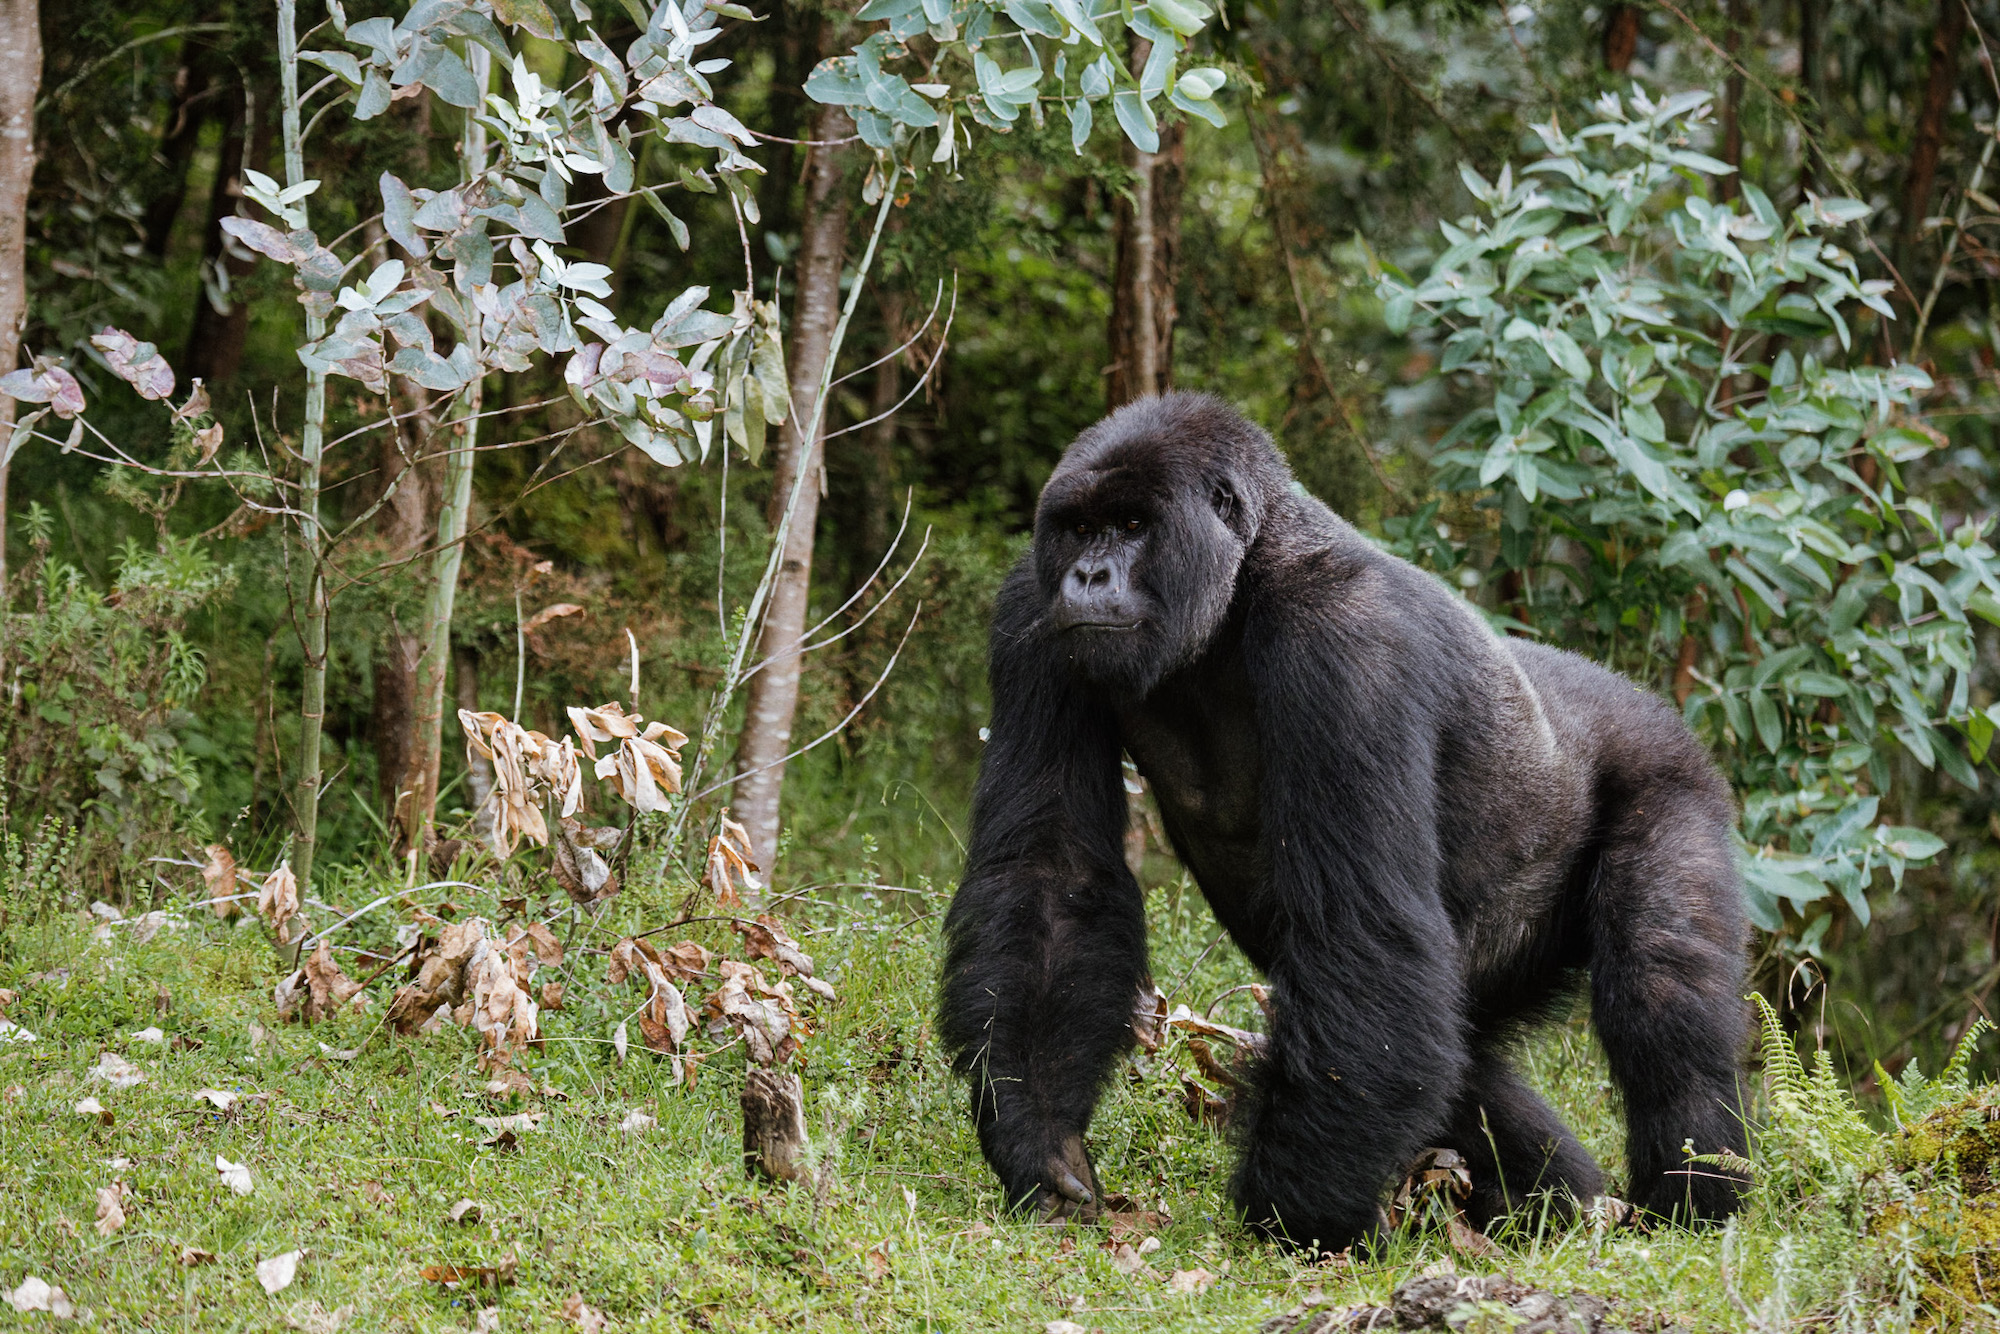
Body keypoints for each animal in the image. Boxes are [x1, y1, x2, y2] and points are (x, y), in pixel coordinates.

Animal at [936, 392, 1752, 1256]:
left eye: (1131, 525)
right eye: (1080, 527)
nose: (1089, 575)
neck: (1241, 581)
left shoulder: (1349, 640)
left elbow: (1361, 927)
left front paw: (1292, 1217)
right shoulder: (1031, 609)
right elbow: (1052, 873)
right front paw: (1040, 1136)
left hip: (1670, 770)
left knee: (1661, 991)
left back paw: (1692, 1200)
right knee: (1458, 1057)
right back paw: (1557, 1198)